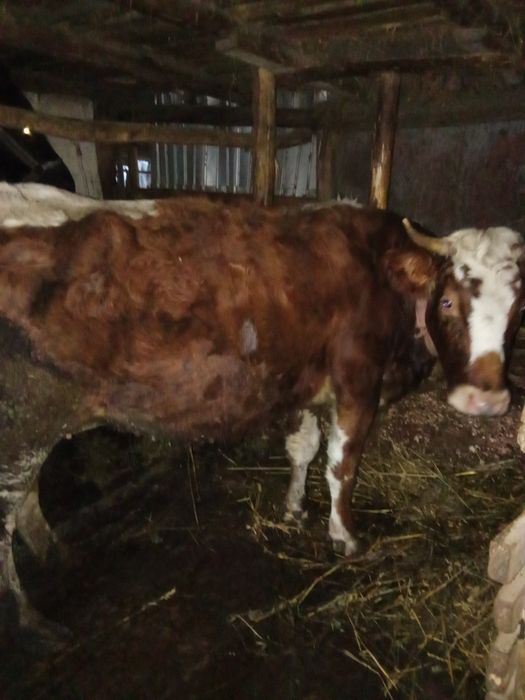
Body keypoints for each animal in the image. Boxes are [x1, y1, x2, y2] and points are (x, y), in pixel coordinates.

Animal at [0, 182, 523, 649]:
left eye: (517, 313)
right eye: (448, 301)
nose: (487, 401)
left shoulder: (305, 383)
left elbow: (303, 450)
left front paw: (294, 508)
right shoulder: (358, 380)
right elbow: (342, 465)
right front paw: (345, 536)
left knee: (28, 501)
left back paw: (59, 553)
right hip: (19, 429)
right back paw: (33, 620)